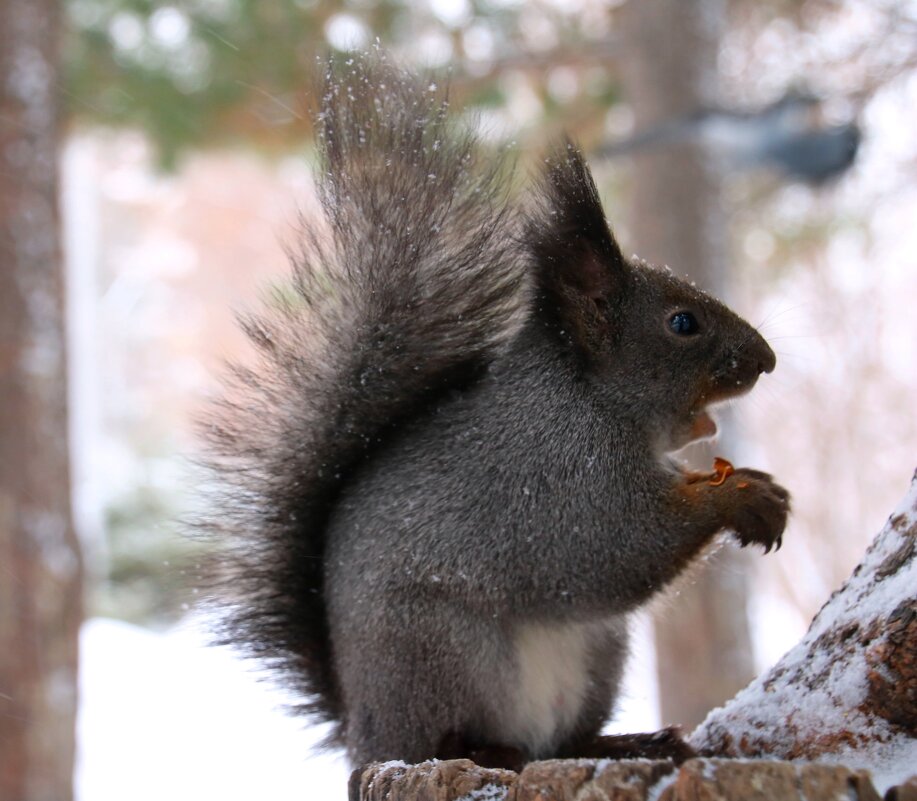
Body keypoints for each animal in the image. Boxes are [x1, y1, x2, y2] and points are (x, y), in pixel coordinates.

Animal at [200, 53, 788, 772]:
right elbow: (614, 550)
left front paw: (755, 483)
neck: (589, 400)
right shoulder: (558, 479)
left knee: (564, 742)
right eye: (682, 322)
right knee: (453, 740)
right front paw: (738, 497)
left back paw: (624, 740)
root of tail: (366, 735)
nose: (766, 360)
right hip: (445, 649)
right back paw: (484, 750)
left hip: (599, 653)